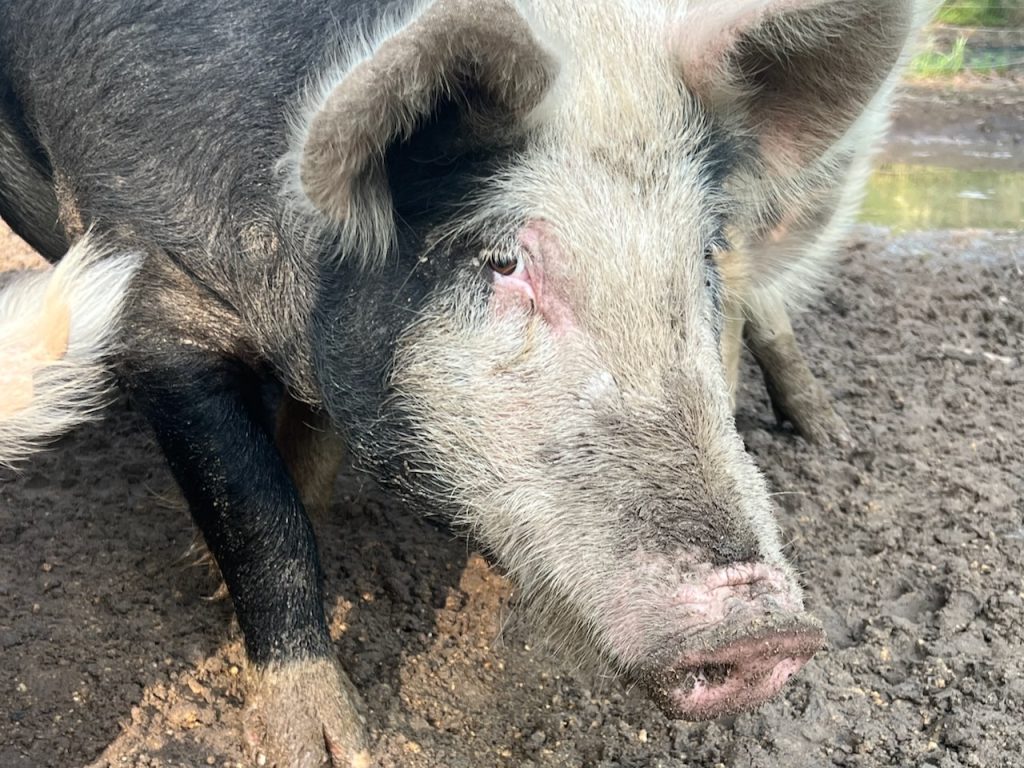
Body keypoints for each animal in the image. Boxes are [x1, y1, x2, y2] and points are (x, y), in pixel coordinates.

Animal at [0, 0, 932, 764]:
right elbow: (264, 518)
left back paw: (831, 433)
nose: (766, 630)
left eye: (699, 252)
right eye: (504, 260)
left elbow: (308, 454)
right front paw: (327, 748)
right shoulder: (153, 301)